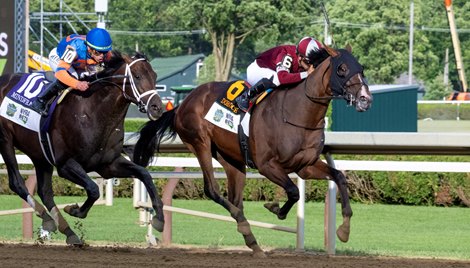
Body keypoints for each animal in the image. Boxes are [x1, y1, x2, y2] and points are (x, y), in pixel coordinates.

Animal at [0, 50, 165, 245]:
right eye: (137, 76)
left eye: (154, 76)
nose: (157, 108)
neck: (93, 113)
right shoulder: (65, 164)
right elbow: (93, 189)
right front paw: (75, 210)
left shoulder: (108, 165)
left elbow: (145, 174)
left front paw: (159, 218)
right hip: (5, 140)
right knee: (17, 183)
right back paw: (50, 220)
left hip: (39, 154)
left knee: (45, 192)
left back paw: (66, 231)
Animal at [132, 45, 370, 256]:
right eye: (342, 69)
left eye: (361, 68)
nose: (365, 99)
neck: (298, 112)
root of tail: (182, 104)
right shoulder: (267, 165)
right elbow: (294, 191)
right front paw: (275, 209)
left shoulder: (306, 166)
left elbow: (338, 177)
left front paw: (344, 230)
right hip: (200, 143)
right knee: (213, 190)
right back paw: (244, 227)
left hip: (231, 159)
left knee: (236, 199)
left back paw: (252, 242)